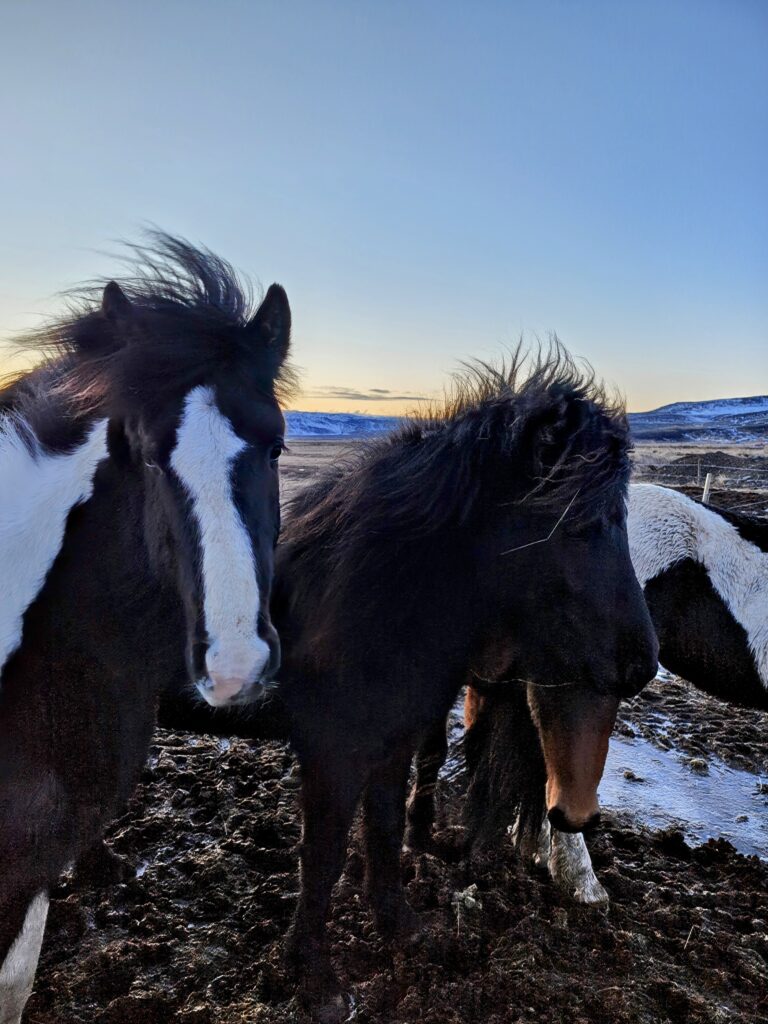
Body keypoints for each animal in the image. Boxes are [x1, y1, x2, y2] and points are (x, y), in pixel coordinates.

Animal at [162, 348, 658, 1021]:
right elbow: (321, 861)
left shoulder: (392, 745)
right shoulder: (334, 754)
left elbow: (385, 833)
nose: (644, 664)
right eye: (583, 526)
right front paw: (316, 981)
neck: (369, 594)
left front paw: (400, 930)